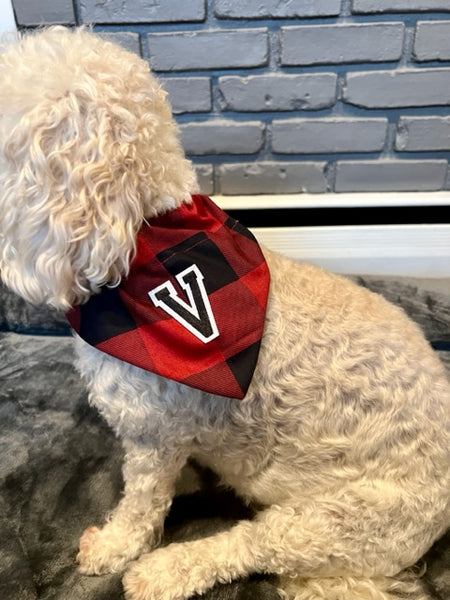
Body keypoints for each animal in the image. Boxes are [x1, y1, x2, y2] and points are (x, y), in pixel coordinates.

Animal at [0, 27, 448, 600]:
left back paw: (166, 570)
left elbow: (141, 505)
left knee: (249, 545)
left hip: (339, 520)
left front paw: (115, 547)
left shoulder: (153, 435)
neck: (146, 240)